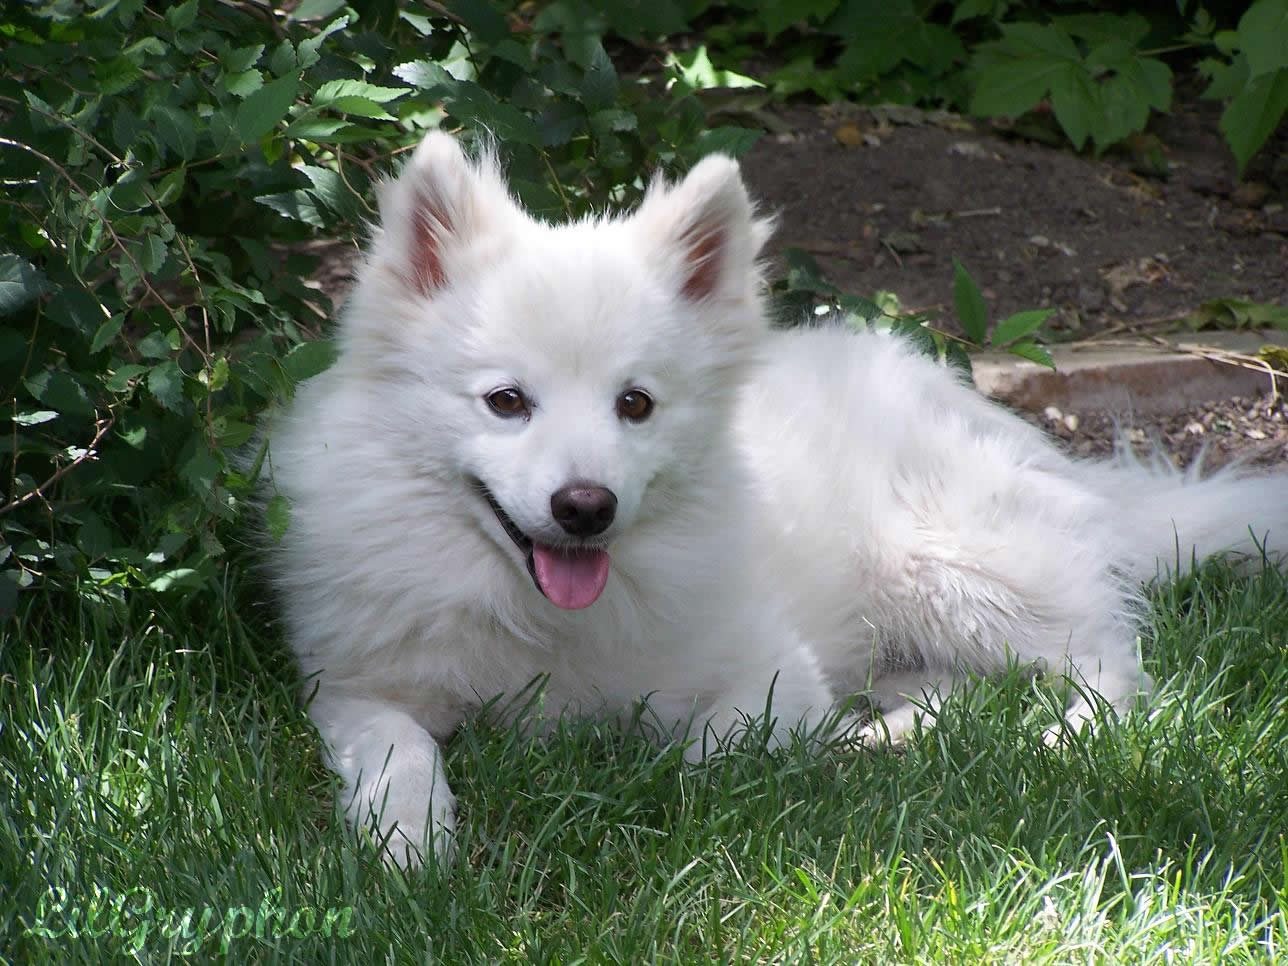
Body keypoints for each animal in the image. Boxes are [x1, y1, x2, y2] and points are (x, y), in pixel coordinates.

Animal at [264, 132, 1288, 865]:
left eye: (635, 404)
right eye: (506, 402)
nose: (586, 506)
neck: (539, 617)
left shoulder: (769, 670)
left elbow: (704, 755)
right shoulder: (354, 689)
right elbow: (398, 753)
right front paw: (411, 842)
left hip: (944, 563)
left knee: (1109, 661)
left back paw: (1042, 740)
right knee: (966, 685)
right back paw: (888, 735)